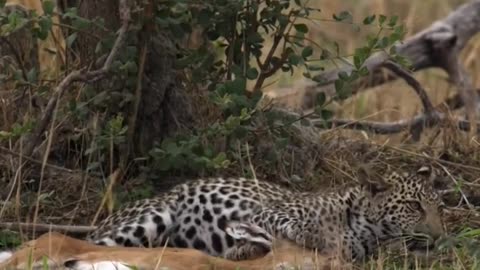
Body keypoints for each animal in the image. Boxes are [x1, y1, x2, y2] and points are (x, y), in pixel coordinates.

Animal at [85, 165, 442, 262]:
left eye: (439, 209)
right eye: (414, 206)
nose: (440, 237)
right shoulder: (268, 212)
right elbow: (293, 226)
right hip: (153, 215)